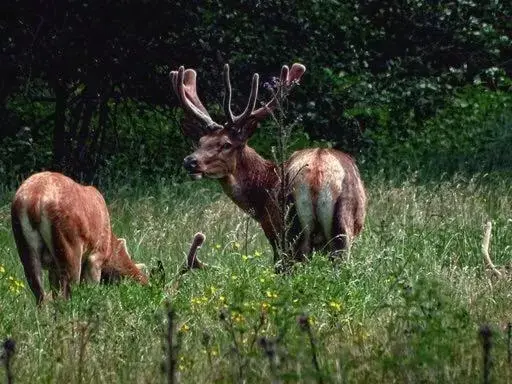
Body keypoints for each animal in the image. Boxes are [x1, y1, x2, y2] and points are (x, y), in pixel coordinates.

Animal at [10, 171, 148, 306]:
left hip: (24, 246)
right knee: (67, 293)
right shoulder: (96, 256)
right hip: (69, 244)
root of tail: (35, 200)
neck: (110, 247)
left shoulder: (54, 268)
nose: (146, 283)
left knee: (40, 295)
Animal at [170, 62, 366, 268]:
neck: (260, 195)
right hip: (339, 229)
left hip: (292, 228)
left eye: (226, 144)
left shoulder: (271, 228)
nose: (190, 161)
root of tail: (318, 173)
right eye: (200, 141)